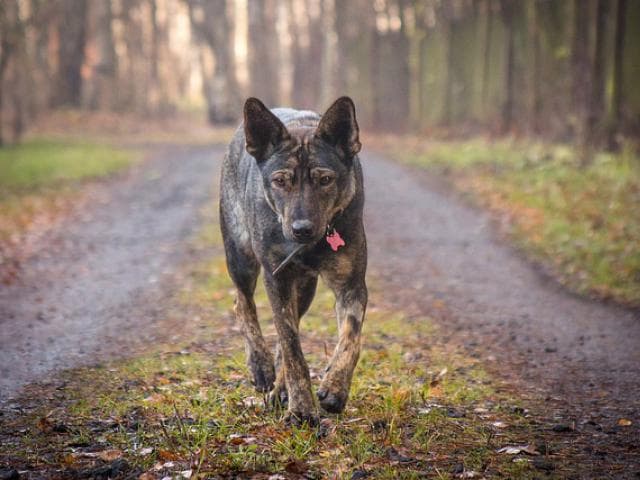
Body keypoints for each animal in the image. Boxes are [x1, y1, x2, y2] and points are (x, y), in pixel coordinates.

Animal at [220, 96, 368, 424]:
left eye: (325, 179)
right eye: (280, 181)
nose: (302, 229)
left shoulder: (351, 285)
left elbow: (350, 338)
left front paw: (335, 387)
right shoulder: (276, 278)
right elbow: (291, 346)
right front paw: (301, 408)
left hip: (305, 287)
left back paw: (279, 387)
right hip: (241, 255)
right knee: (242, 302)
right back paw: (261, 366)